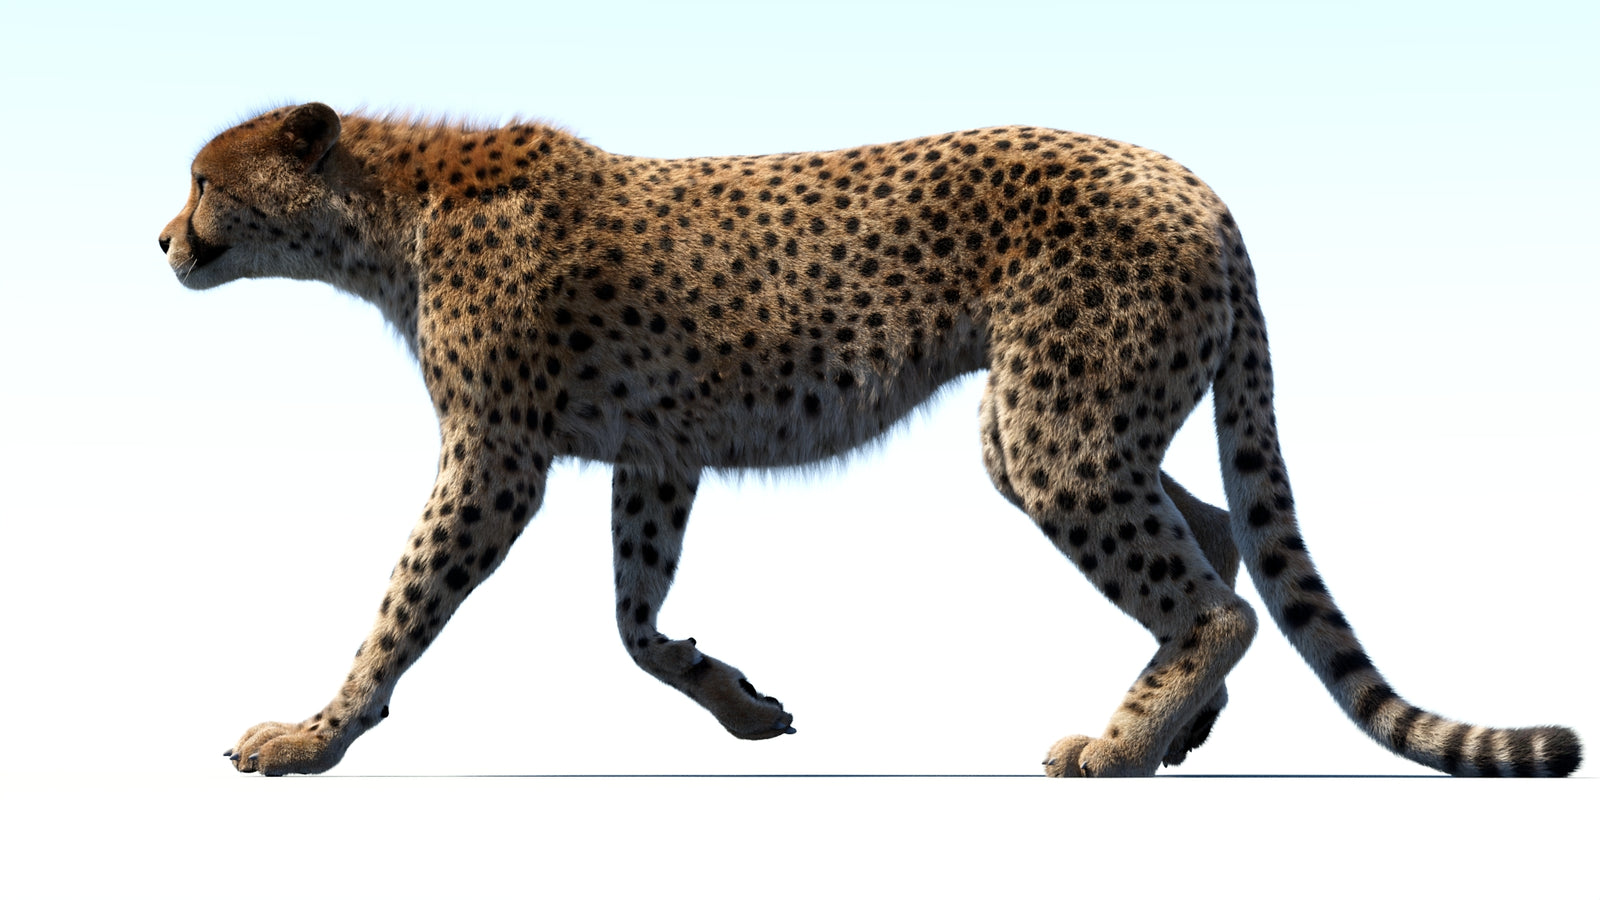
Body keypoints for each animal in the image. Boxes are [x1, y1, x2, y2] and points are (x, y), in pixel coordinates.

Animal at [160, 102, 1582, 777]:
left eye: (204, 180)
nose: (165, 237)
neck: (379, 212)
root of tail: (1193, 182)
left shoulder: (496, 458)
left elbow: (402, 603)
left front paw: (314, 732)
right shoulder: (655, 451)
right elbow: (632, 622)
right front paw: (736, 701)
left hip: (1057, 424)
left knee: (1216, 593)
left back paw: (1121, 747)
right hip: (1055, 424)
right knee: (1220, 528)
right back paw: (1179, 726)